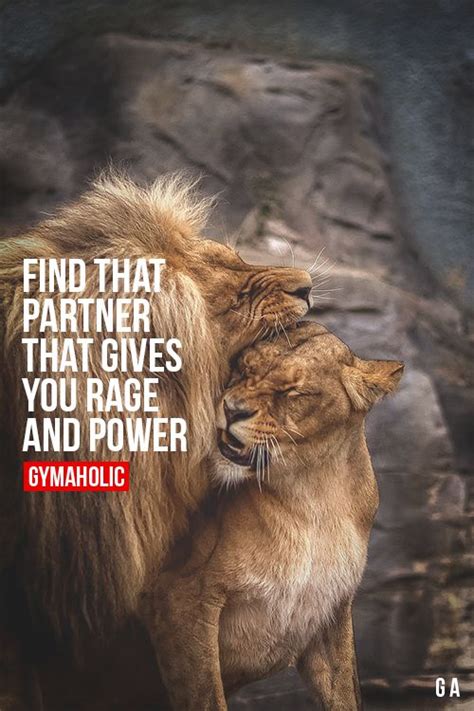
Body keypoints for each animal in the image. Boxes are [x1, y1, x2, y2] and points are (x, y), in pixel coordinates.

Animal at [141, 321, 404, 710]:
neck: (311, 495)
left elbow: (344, 693)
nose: (232, 410)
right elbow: (205, 696)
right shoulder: (180, 595)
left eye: (291, 391)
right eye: (243, 369)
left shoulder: (329, 611)